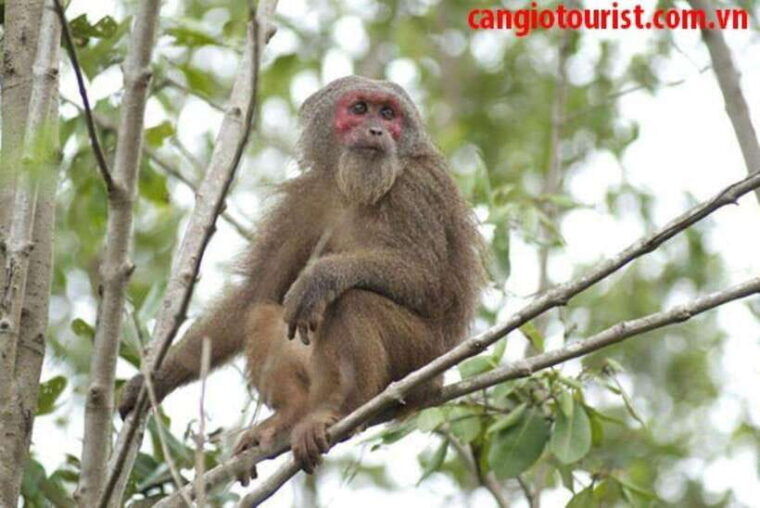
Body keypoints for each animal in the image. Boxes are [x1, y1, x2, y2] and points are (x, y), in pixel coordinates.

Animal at [118, 75, 486, 476]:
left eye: (389, 114)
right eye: (360, 109)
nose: (376, 130)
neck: (355, 189)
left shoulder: (418, 188)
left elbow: (428, 280)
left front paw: (321, 277)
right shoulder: (305, 198)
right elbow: (256, 292)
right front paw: (155, 381)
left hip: (422, 359)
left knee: (354, 301)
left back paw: (342, 407)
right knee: (265, 312)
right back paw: (292, 416)